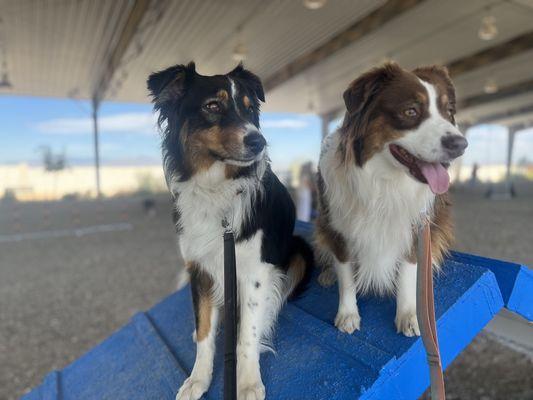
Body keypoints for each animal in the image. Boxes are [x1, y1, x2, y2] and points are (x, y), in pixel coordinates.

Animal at [145, 63, 312, 400]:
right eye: (212, 106)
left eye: (249, 110)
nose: (259, 141)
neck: (216, 188)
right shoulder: (199, 269)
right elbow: (205, 332)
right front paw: (198, 378)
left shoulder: (255, 272)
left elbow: (247, 333)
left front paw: (247, 383)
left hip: (300, 251)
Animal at [316, 62, 466, 336]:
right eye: (411, 111)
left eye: (448, 112)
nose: (461, 144)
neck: (384, 181)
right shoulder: (337, 228)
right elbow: (346, 275)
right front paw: (348, 313)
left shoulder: (416, 229)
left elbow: (407, 272)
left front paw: (409, 314)